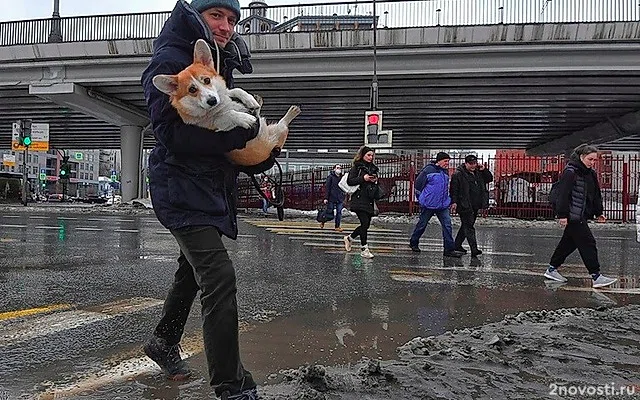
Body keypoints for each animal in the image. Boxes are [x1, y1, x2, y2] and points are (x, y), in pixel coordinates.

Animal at [152, 38, 300, 166]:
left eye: (207, 80)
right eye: (192, 89)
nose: (212, 100)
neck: (219, 106)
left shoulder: (225, 94)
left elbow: (235, 90)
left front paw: (250, 99)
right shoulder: (217, 127)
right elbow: (227, 115)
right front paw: (244, 118)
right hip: (279, 131)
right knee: (283, 124)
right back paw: (292, 111)